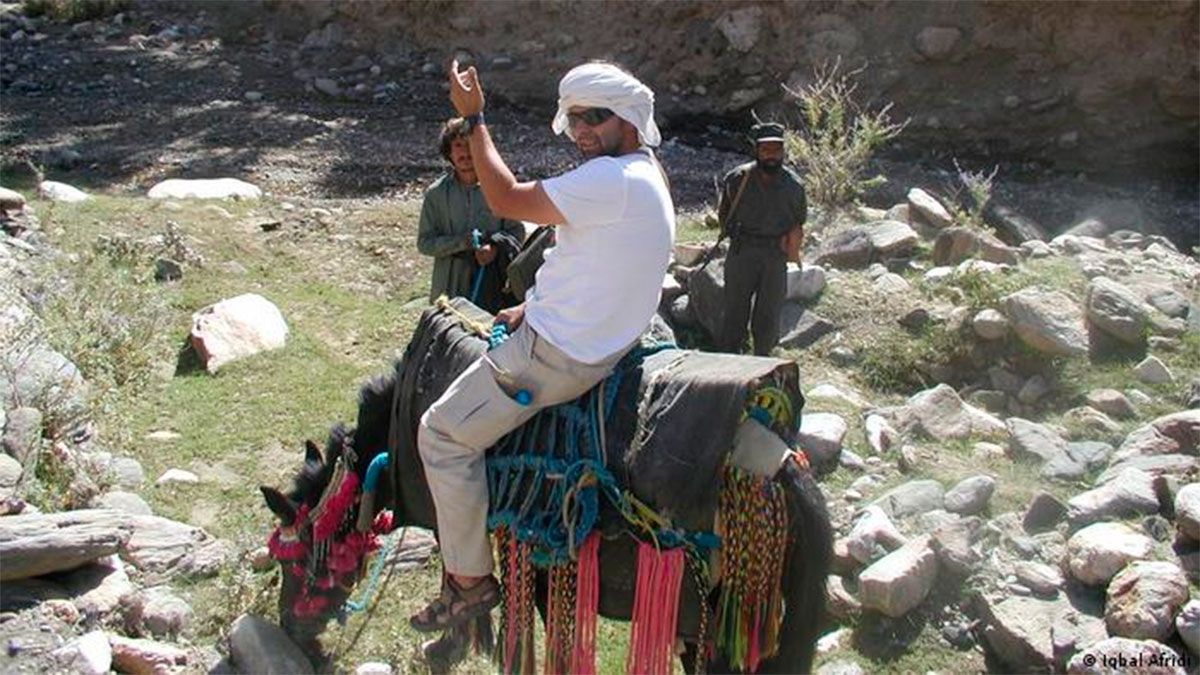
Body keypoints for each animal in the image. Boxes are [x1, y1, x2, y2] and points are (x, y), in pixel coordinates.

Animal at [260, 299, 833, 673]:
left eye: (298, 560)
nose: (291, 630)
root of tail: (780, 460)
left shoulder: (451, 506)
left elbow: (464, 582)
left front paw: (443, 644)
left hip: (710, 625)